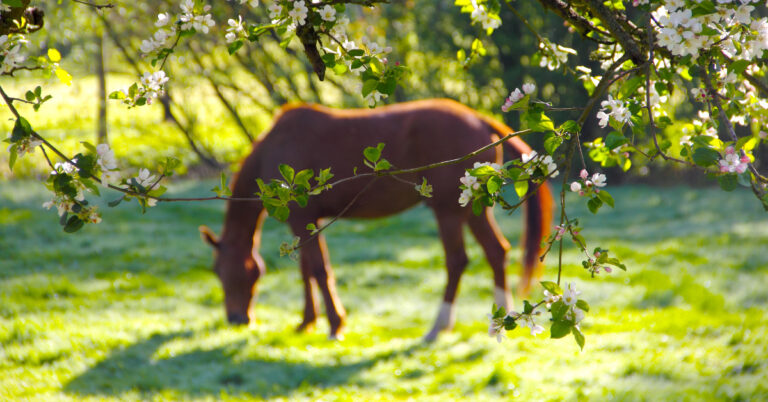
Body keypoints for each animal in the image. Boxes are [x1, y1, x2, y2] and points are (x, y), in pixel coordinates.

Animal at [199, 98, 554, 341]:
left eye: (221, 271)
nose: (236, 319)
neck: (276, 147)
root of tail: (480, 119)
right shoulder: (306, 223)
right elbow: (307, 271)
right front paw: (306, 322)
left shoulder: (302, 218)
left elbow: (318, 270)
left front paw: (334, 325)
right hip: (473, 209)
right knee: (496, 252)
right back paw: (500, 317)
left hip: (449, 212)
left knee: (457, 261)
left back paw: (437, 327)